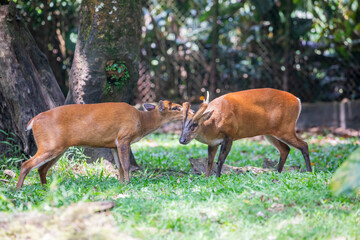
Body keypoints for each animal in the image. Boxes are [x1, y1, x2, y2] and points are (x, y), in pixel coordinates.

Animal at [16, 100, 186, 190]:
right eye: (175, 108)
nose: (188, 111)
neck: (142, 121)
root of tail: (33, 121)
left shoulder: (114, 144)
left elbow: (119, 167)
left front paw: (121, 184)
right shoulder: (124, 137)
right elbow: (126, 165)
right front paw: (128, 184)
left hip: (58, 148)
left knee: (41, 168)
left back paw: (46, 188)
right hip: (50, 145)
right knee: (26, 164)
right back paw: (18, 189)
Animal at [180, 88, 312, 178]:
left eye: (194, 124)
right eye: (182, 124)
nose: (182, 140)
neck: (213, 126)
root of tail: (298, 100)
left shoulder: (230, 135)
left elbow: (220, 159)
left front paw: (217, 177)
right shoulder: (213, 143)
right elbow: (209, 161)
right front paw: (207, 177)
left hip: (286, 128)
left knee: (304, 144)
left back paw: (309, 171)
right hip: (271, 133)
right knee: (285, 149)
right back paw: (277, 173)